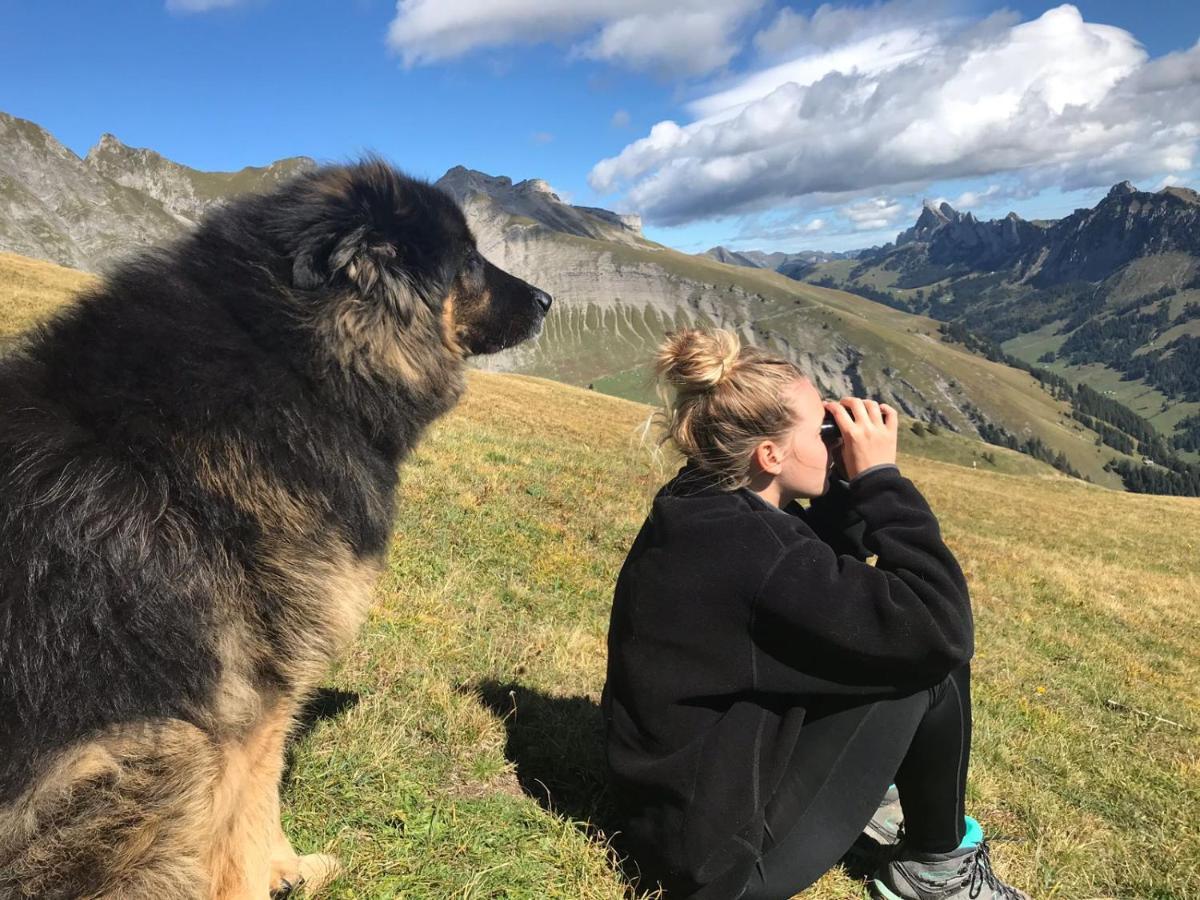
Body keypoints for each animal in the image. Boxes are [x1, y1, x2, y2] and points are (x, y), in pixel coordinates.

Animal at [0, 158, 552, 897]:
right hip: (165, 746)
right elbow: (247, 809)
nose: (547, 300)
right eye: (467, 261)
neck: (296, 357)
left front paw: (288, 865)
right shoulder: (256, 692)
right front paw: (271, 874)